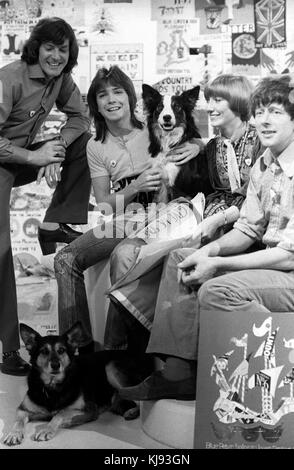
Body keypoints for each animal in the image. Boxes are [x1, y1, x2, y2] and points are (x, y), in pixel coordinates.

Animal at [3, 322, 152, 446]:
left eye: (61, 350)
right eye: (44, 351)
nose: (56, 365)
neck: (52, 387)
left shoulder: (88, 410)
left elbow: (60, 413)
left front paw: (47, 429)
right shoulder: (23, 409)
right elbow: (18, 421)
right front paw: (13, 434)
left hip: (111, 367)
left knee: (141, 396)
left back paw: (132, 411)